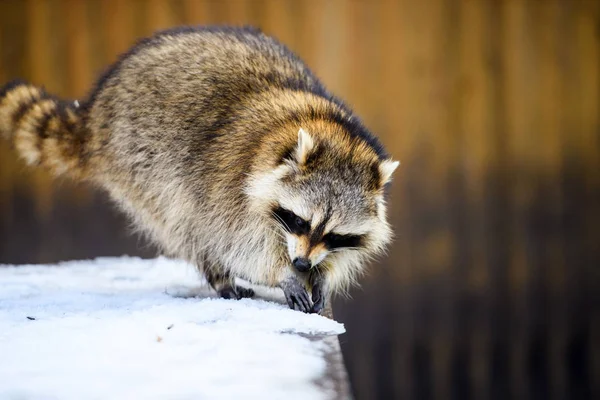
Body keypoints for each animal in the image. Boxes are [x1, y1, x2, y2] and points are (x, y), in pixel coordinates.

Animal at [2, 25, 400, 316]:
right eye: (299, 220)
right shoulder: (230, 183)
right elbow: (237, 241)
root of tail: (97, 109)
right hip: (139, 157)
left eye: (334, 234)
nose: (302, 264)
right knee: (186, 221)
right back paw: (218, 275)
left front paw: (322, 276)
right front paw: (283, 274)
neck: (331, 128)